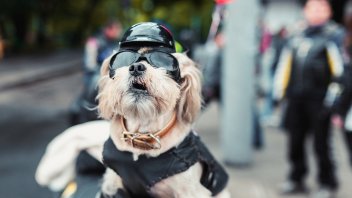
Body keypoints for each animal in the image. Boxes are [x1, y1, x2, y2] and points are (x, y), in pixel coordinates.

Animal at [96, 22, 230, 198]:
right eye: (122, 59)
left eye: (161, 61)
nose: (136, 67)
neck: (141, 136)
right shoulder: (113, 184)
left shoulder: (192, 190)